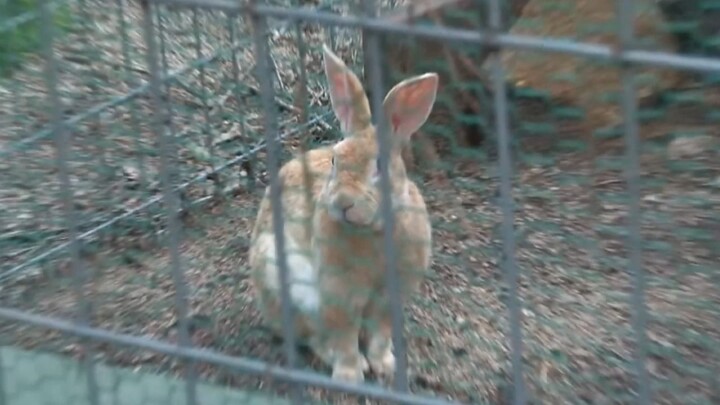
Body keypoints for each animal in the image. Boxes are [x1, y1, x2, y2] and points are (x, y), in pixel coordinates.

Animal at [248, 43, 437, 384]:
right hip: (287, 284)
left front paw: (385, 366)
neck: (374, 229)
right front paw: (350, 377)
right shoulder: (340, 296)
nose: (343, 202)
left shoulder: (389, 297)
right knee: (314, 336)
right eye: (335, 160)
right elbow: (346, 336)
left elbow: (380, 333)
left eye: (379, 166)